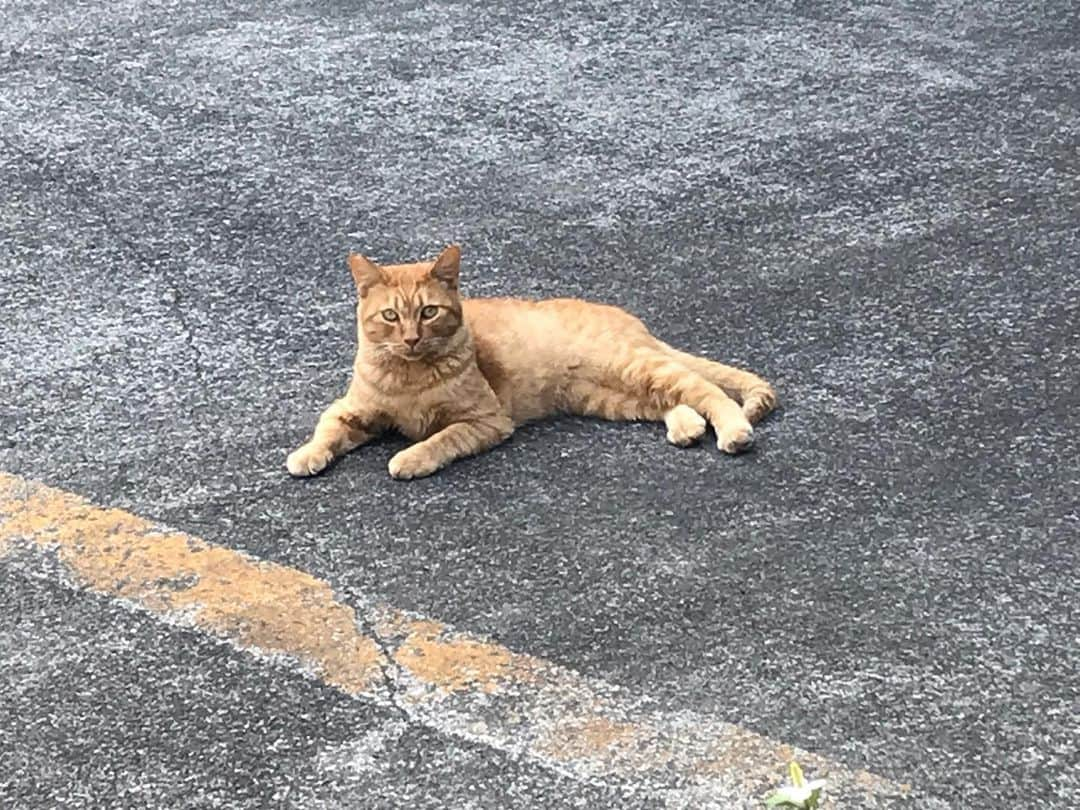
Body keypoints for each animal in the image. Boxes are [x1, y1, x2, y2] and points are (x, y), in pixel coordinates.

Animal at [287, 244, 777, 479]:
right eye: (390, 316)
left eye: (428, 313)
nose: (410, 338)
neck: (409, 376)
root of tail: (631, 319)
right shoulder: (352, 411)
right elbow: (326, 430)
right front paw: (306, 456)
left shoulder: (485, 420)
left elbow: (439, 440)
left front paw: (410, 458)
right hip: (611, 396)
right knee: (673, 401)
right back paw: (687, 427)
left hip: (633, 367)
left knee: (705, 389)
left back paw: (734, 432)